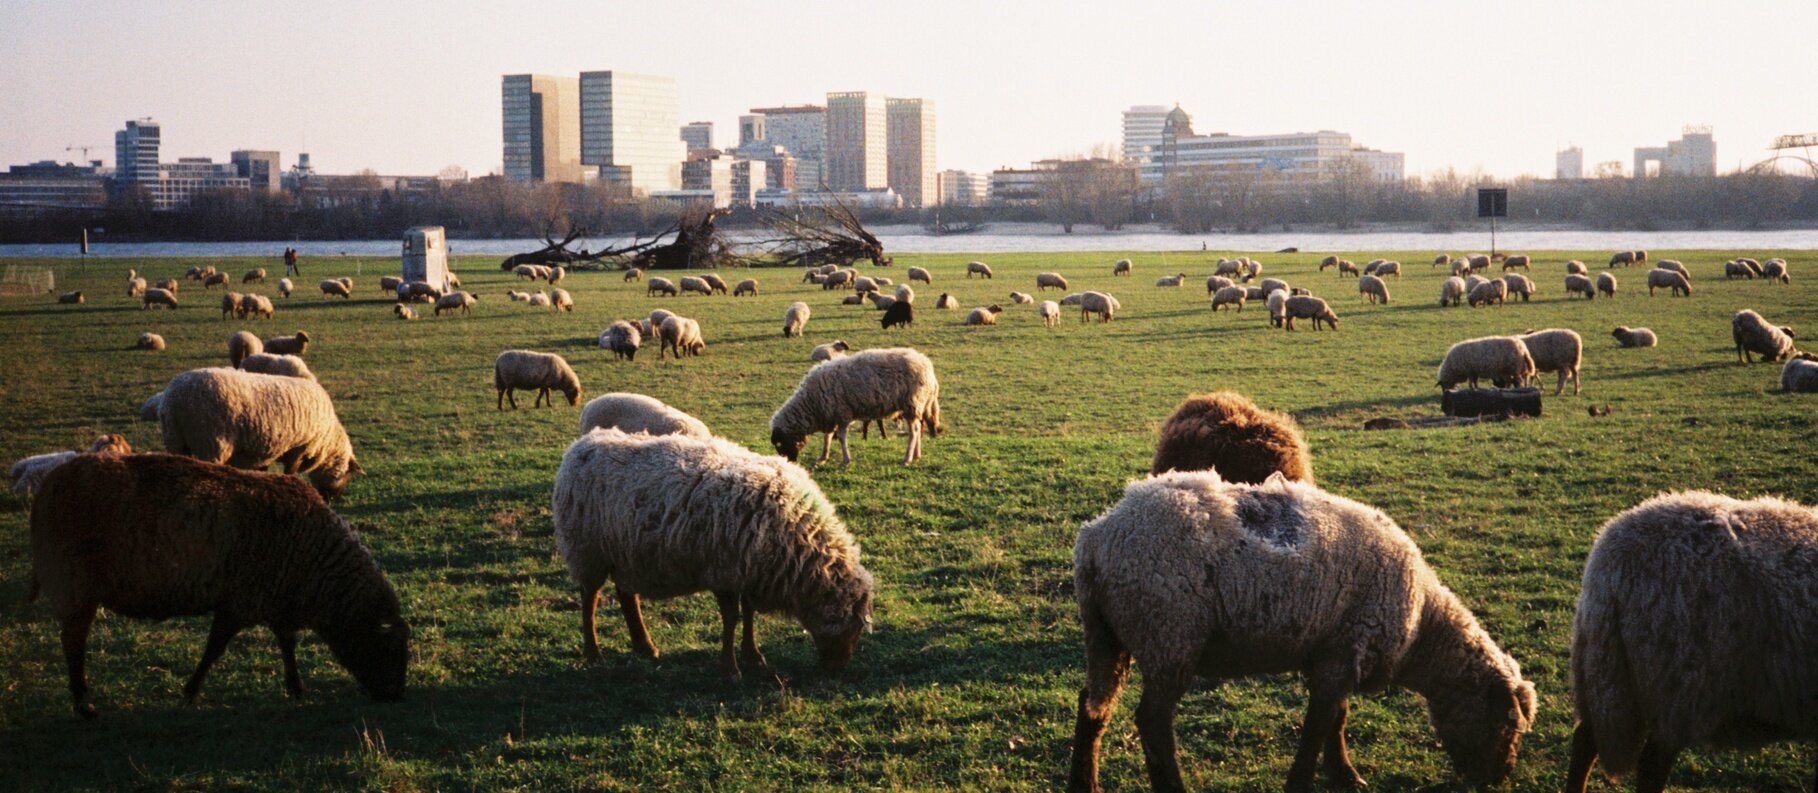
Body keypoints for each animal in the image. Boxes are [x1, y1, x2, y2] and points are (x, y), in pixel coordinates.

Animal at [27, 453, 407, 718]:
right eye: (387, 648)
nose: (395, 697)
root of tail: (49, 485)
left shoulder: (276, 598)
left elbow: (287, 644)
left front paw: (296, 687)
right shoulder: (239, 602)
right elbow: (214, 649)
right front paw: (191, 691)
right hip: (76, 584)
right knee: (73, 645)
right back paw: (84, 705)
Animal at [159, 367, 362, 499]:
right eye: (346, 475)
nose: (331, 500)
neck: (327, 441)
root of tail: (176, 398)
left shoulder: (264, 450)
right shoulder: (298, 448)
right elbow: (290, 472)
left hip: (175, 439)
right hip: (210, 442)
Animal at [552, 428, 874, 679]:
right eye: (853, 627)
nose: (836, 668)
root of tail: (581, 444)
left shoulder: (747, 570)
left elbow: (748, 613)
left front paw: (753, 655)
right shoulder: (724, 570)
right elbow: (731, 618)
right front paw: (730, 668)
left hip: (626, 552)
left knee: (626, 595)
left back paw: (645, 646)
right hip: (587, 550)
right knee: (590, 599)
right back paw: (593, 652)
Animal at [769, 347, 940, 467]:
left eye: (780, 444)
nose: (790, 462)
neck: (811, 403)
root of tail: (927, 365)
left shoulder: (842, 413)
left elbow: (841, 438)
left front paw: (845, 460)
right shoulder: (831, 414)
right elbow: (827, 437)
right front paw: (823, 456)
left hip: (912, 403)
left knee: (914, 431)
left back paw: (907, 458)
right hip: (916, 404)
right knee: (918, 427)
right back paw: (916, 456)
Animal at [1070, 472, 1535, 793]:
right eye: (1508, 722)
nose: (1500, 777)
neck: (1423, 626)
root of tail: (1096, 539)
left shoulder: (1335, 650)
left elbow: (1336, 717)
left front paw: (1344, 774)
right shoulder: (1344, 651)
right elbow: (1318, 724)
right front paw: (1308, 779)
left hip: (1109, 637)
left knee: (1093, 706)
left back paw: (1084, 783)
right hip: (1169, 635)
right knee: (1152, 721)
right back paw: (1171, 786)